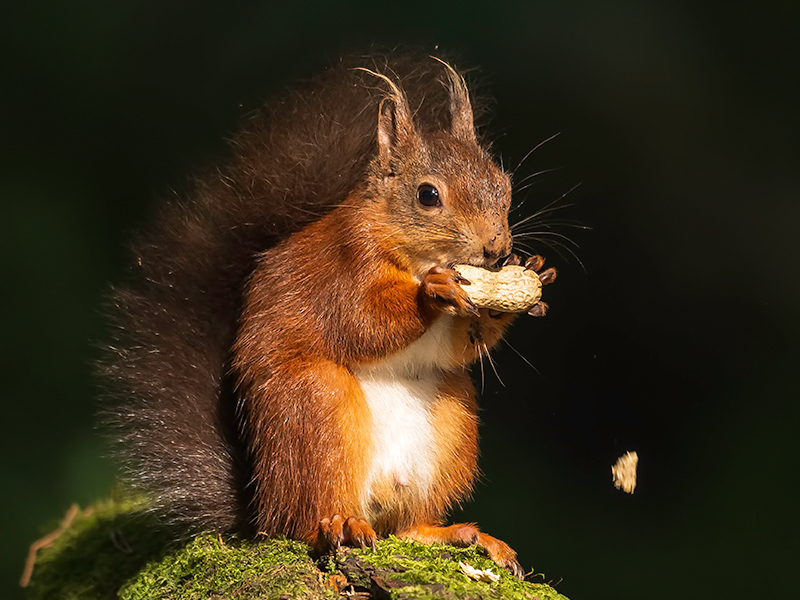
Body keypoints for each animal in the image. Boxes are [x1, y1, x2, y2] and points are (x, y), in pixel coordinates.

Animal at [101, 53, 556, 578]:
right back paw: (339, 525)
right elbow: (359, 323)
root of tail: (263, 507)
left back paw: (464, 536)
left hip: (451, 416)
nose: (497, 250)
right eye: (428, 195)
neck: (412, 255)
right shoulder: (344, 269)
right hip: (317, 405)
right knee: (307, 521)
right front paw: (430, 294)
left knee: (405, 528)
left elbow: (457, 346)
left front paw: (531, 277)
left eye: (503, 184)